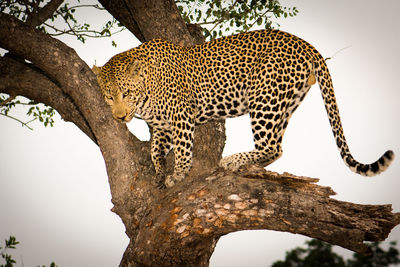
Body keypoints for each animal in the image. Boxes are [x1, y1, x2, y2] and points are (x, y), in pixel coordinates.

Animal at [91, 29, 394, 188]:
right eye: (108, 97)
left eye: (125, 93)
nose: (119, 116)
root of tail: (305, 43)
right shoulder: (160, 125)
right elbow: (155, 150)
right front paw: (158, 171)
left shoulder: (181, 117)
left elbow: (184, 151)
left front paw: (177, 175)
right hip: (285, 103)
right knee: (276, 147)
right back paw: (244, 163)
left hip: (265, 100)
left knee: (272, 147)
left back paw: (231, 161)